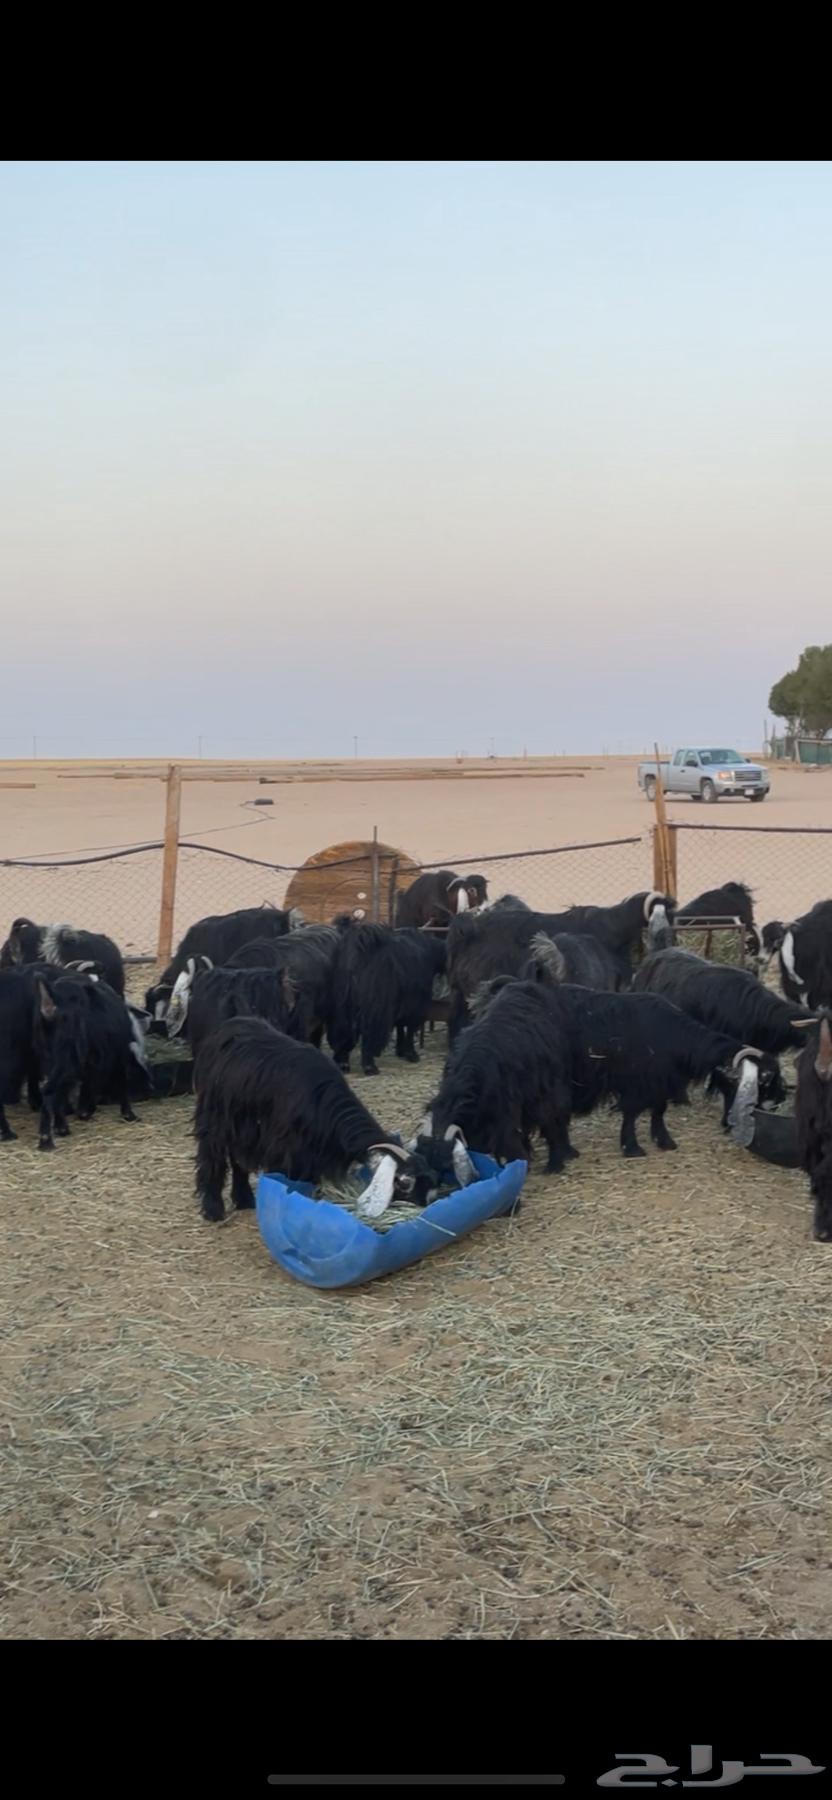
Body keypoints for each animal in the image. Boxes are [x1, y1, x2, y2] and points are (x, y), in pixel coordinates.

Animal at [34, 972, 142, 1151]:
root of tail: (52, 1003)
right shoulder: (115, 1057)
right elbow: (118, 1082)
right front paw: (129, 1114)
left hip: (50, 1059)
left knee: (55, 1089)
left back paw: (60, 1128)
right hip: (66, 1059)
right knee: (49, 1090)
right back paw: (46, 1140)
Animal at [192, 1016, 434, 1222]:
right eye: (405, 1183)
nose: (425, 1205)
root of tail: (228, 1026)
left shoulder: (312, 1156)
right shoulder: (285, 1151)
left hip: (242, 1128)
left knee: (237, 1159)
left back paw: (244, 1200)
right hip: (214, 1119)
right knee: (212, 1159)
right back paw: (214, 1209)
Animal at [327, 924, 447, 1075]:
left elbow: (400, 1027)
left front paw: (400, 1051)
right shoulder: (416, 1006)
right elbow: (409, 1029)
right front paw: (411, 1054)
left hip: (343, 1005)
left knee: (343, 1031)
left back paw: (342, 1063)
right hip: (374, 1007)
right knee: (368, 1032)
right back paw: (370, 1066)